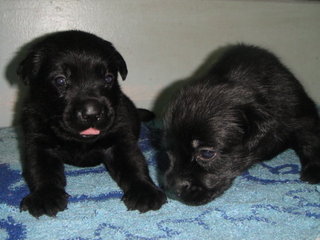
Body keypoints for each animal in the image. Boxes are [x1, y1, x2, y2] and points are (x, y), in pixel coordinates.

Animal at [16, 30, 168, 218]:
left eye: (108, 78)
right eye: (60, 80)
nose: (92, 113)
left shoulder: (120, 138)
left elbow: (134, 163)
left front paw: (144, 191)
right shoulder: (38, 140)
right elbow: (40, 169)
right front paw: (45, 196)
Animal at [164, 44, 320, 204]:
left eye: (207, 153)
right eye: (169, 150)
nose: (172, 191)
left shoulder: (300, 115)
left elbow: (310, 140)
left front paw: (314, 169)